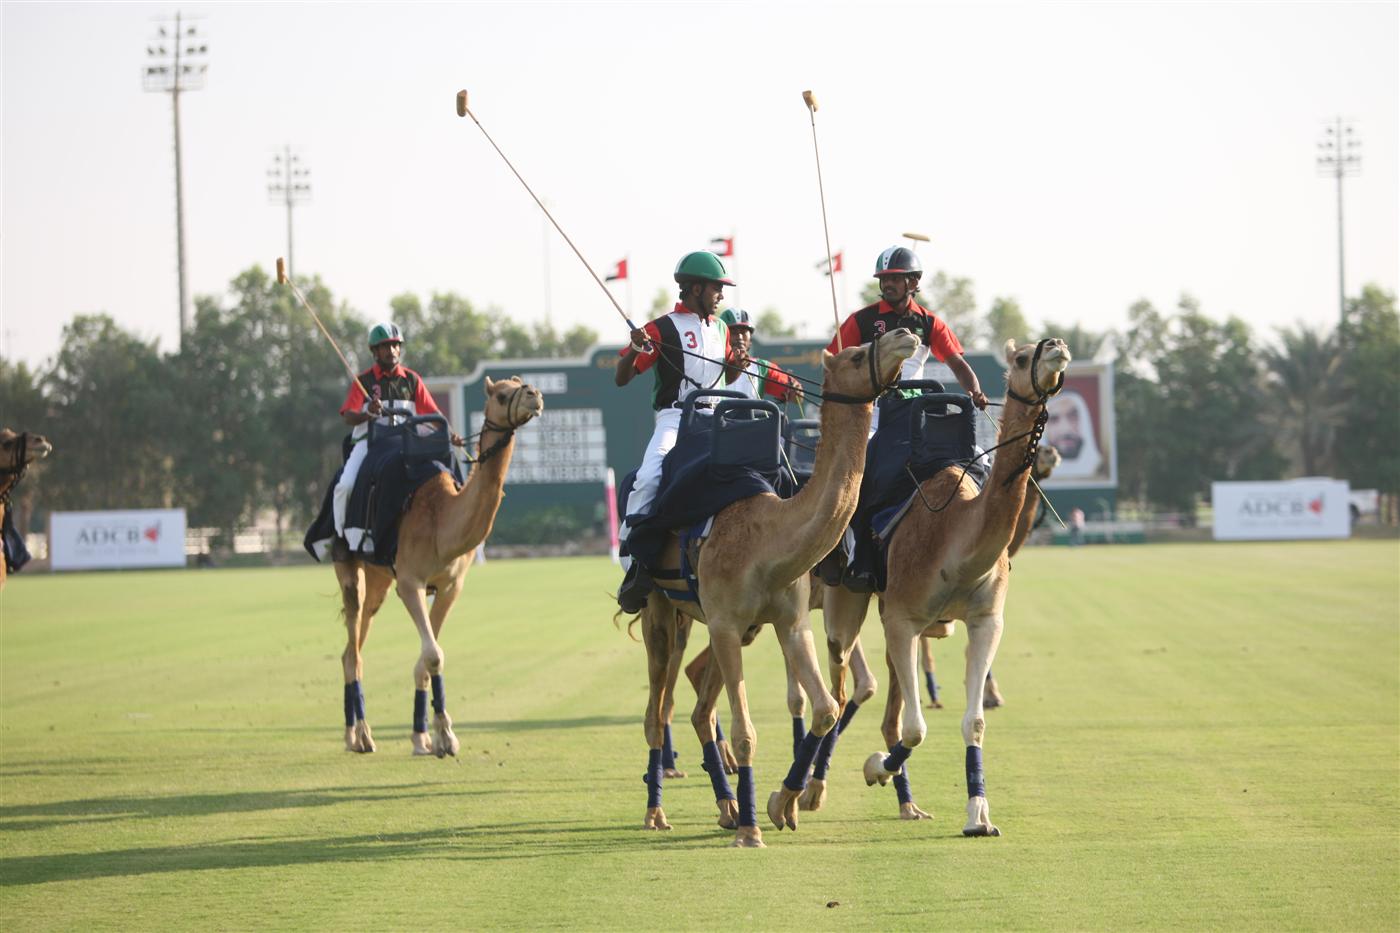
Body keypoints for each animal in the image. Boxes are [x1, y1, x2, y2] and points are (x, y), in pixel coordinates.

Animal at [333, 377, 543, 756]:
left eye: (520, 384)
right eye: (502, 394)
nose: (535, 395)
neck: (441, 517)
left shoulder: (449, 586)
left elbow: (426, 657)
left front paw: (425, 737)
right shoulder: (410, 582)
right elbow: (433, 655)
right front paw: (445, 736)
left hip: (379, 578)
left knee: (354, 643)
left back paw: (362, 734)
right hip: (350, 567)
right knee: (352, 651)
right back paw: (360, 735)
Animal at [634, 328, 920, 848]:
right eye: (853, 355)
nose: (903, 334)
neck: (767, 541)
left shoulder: (789, 621)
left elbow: (825, 707)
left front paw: (781, 804)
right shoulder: (728, 623)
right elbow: (747, 732)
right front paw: (752, 830)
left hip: (714, 625)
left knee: (698, 711)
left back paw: (726, 808)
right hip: (663, 613)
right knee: (657, 712)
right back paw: (657, 813)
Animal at [800, 338, 1070, 832]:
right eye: (1022, 358)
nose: (1056, 347)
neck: (955, 536)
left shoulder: (985, 619)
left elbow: (971, 722)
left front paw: (979, 814)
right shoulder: (903, 616)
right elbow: (915, 728)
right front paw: (875, 766)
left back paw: (901, 801)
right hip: (842, 602)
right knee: (841, 688)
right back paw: (808, 790)